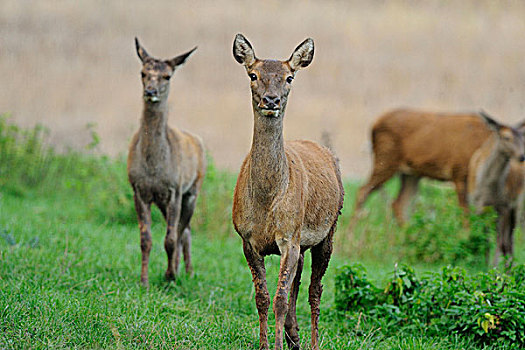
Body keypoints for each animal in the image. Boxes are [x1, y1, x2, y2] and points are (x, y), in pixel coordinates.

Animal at [128, 37, 206, 288]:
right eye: (143, 72)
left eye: (167, 76)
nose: (150, 91)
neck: (154, 168)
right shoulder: (139, 189)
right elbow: (146, 239)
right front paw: (144, 281)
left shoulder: (175, 189)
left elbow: (171, 239)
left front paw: (170, 275)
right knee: (184, 230)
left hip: (192, 191)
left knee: (184, 231)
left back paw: (186, 272)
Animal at [231, 33, 342, 350]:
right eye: (253, 74)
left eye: (289, 77)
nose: (271, 100)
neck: (266, 200)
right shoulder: (247, 239)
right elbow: (263, 298)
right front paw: (265, 344)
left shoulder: (288, 236)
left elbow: (280, 299)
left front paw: (277, 345)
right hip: (303, 242)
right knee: (299, 280)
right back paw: (295, 336)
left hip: (328, 231)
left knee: (315, 289)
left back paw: (312, 342)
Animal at [354, 108, 494, 224]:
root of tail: (374, 125)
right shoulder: (459, 172)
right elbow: (465, 213)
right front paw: (466, 236)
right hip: (386, 159)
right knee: (362, 191)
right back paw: (351, 235)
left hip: (410, 173)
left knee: (399, 203)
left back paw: (408, 235)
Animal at [466, 111, 524, 266]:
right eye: (506, 137)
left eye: (522, 139)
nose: (521, 156)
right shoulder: (478, 206)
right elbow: (485, 240)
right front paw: (485, 266)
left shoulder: (505, 206)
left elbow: (501, 242)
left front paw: (495, 268)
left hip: (516, 205)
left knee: (509, 241)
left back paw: (509, 266)